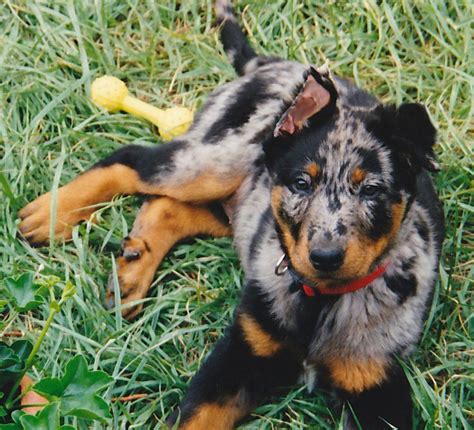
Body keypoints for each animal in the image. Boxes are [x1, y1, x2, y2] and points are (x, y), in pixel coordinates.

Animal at [19, 1, 444, 428]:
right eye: (301, 184)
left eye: (371, 190)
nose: (324, 257)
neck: (320, 302)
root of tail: (271, 64)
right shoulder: (240, 353)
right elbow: (195, 418)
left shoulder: (377, 385)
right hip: (215, 161)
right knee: (132, 159)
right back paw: (51, 214)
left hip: (236, 206)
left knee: (167, 207)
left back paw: (131, 272)